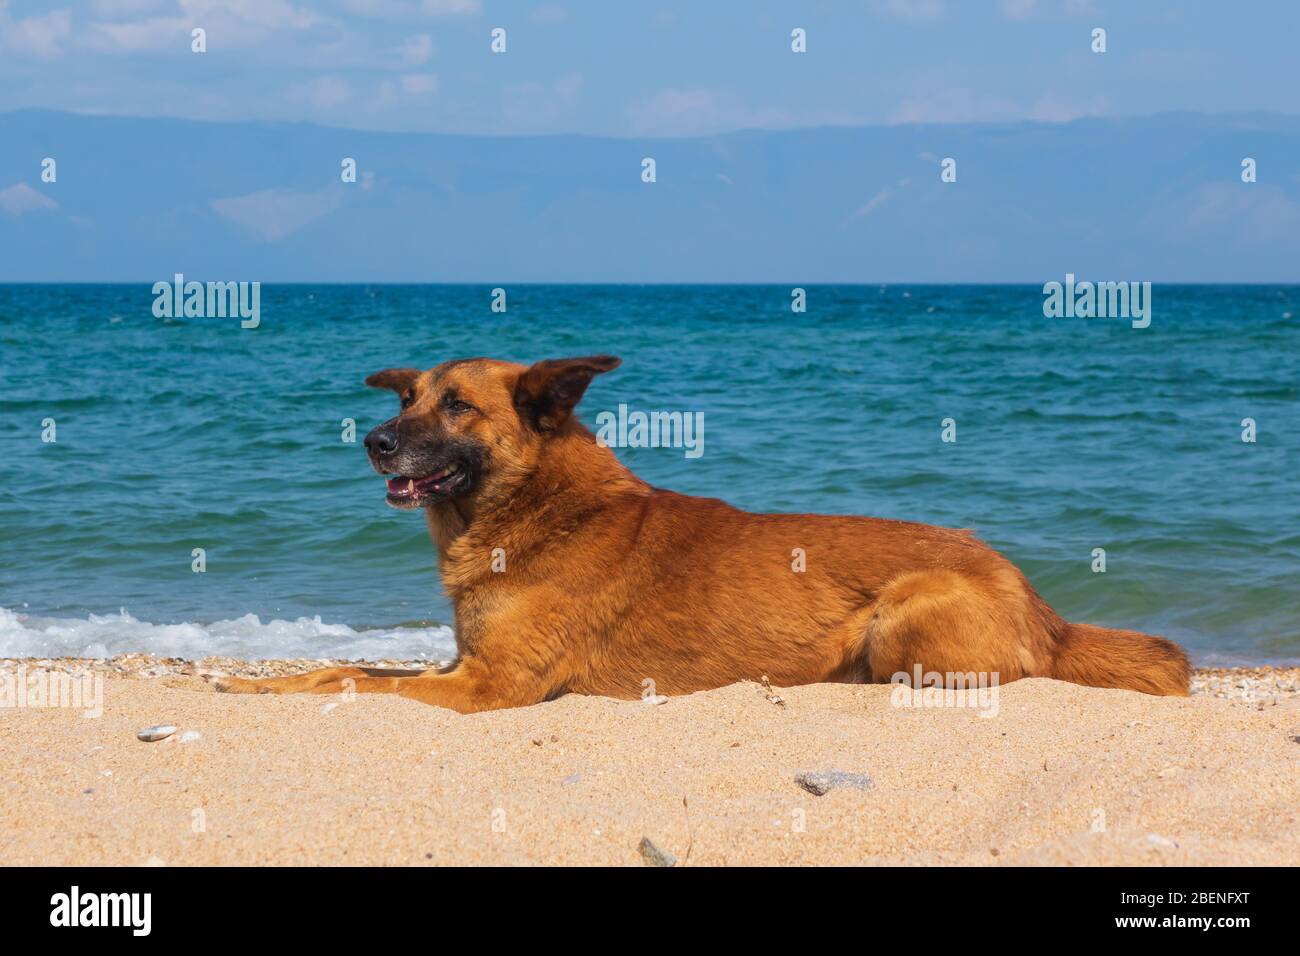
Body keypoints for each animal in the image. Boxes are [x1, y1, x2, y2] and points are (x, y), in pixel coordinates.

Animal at [210, 356, 1190, 712]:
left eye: (455, 405)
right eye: (408, 396)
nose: (372, 440)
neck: (539, 510)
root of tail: (1045, 608)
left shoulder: (489, 687)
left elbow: (361, 683)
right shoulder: (463, 666)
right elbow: (340, 670)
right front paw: (263, 683)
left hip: (905, 610)